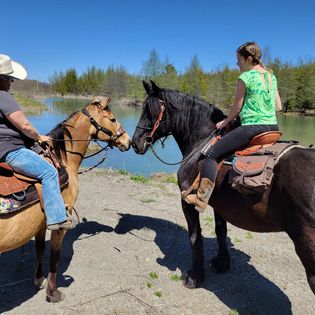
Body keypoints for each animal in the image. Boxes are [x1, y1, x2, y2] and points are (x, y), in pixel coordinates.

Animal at [0, 97, 131, 304]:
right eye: (112, 119)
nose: (129, 141)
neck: (64, 159)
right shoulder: (61, 223)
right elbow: (55, 256)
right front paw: (53, 293)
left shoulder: (41, 222)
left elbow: (39, 249)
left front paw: (39, 279)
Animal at [131, 81, 315, 294]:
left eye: (149, 110)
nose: (135, 142)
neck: (200, 143)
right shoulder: (219, 204)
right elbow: (220, 230)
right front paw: (221, 264)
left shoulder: (188, 202)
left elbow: (195, 237)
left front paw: (195, 277)